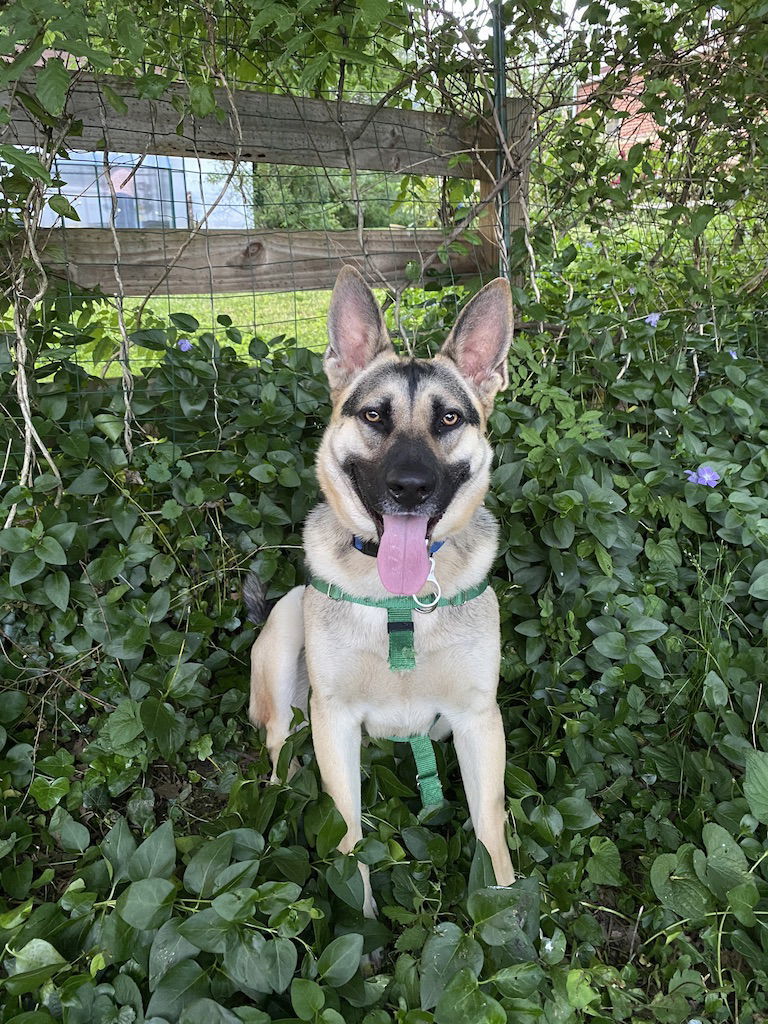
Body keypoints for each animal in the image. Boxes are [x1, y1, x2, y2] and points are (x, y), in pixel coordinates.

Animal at [249, 262, 518, 913]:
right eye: (374, 415)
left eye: (449, 418)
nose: (411, 487)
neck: (402, 604)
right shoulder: (336, 721)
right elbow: (348, 834)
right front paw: (360, 919)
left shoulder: (478, 720)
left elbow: (490, 828)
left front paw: (508, 915)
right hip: (289, 635)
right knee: (277, 750)